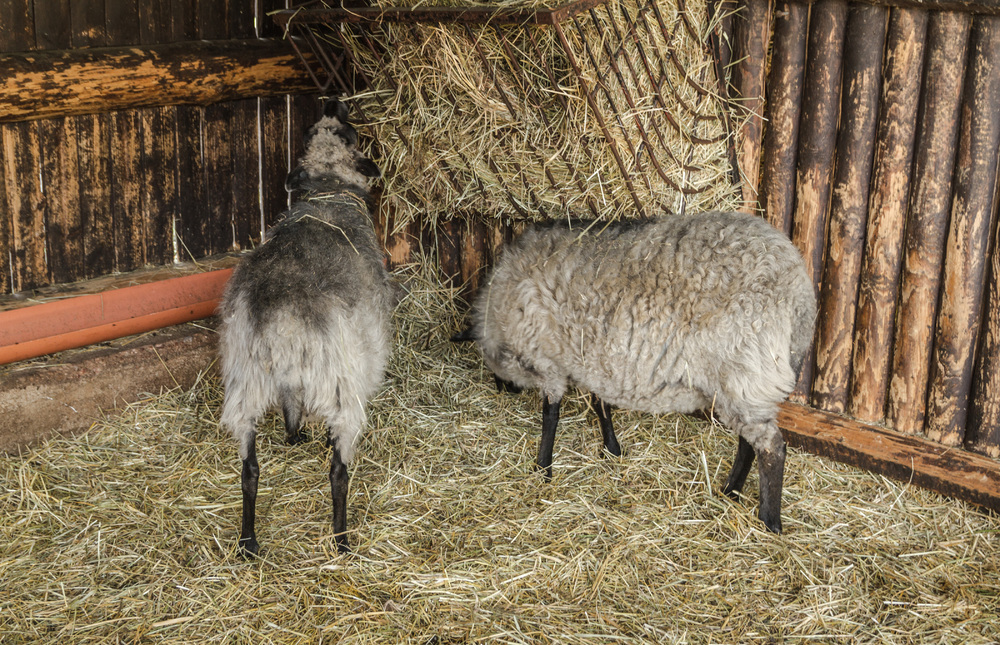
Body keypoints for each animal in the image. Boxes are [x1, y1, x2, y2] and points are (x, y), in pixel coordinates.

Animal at [219, 98, 394, 556]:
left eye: (312, 128)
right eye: (350, 132)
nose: (333, 101)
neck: (328, 191)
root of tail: (281, 317)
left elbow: (291, 405)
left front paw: (294, 437)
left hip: (245, 382)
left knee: (249, 469)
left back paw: (248, 540)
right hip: (339, 384)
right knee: (338, 470)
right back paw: (342, 539)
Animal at [458, 213, 816, 532]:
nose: (504, 388)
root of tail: (800, 292)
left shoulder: (549, 361)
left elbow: (551, 415)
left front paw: (543, 467)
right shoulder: (594, 360)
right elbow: (600, 404)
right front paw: (612, 449)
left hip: (746, 373)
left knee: (771, 449)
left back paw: (769, 521)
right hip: (745, 386)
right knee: (748, 443)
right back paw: (731, 491)